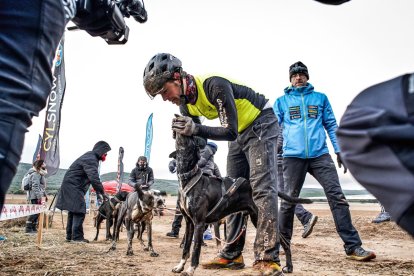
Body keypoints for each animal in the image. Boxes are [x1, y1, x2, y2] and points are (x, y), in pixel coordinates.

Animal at [171, 133, 310, 274]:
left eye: (191, 139)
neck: (188, 178)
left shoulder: (199, 223)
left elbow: (195, 250)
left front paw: (190, 270)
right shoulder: (189, 223)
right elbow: (186, 248)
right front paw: (180, 266)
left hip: (261, 217)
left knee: (285, 242)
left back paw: (288, 266)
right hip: (255, 217)